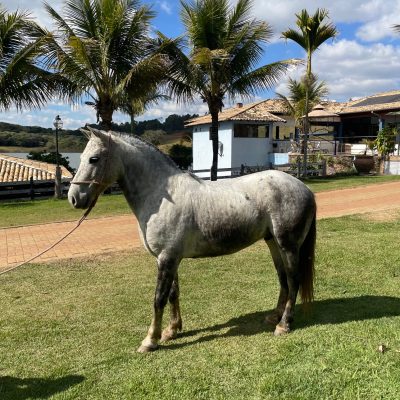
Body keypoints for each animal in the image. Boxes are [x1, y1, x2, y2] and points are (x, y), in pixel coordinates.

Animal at [69, 128, 318, 354]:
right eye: (81, 158)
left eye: (94, 158)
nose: (74, 198)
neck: (160, 195)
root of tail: (305, 188)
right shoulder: (169, 258)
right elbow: (173, 294)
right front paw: (171, 330)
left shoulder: (167, 258)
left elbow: (158, 298)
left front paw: (150, 340)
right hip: (272, 242)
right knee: (283, 279)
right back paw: (274, 316)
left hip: (288, 245)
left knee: (293, 280)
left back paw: (284, 324)